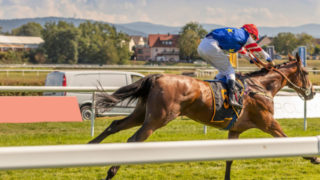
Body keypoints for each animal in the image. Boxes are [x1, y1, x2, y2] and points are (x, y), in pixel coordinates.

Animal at [88, 54, 318, 179]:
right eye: (306, 72)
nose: (311, 92)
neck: (261, 87)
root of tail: (157, 76)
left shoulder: (235, 130)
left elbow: (229, 159)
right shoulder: (268, 122)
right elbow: (287, 139)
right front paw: (314, 157)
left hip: (141, 113)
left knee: (115, 125)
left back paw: (91, 146)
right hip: (157, 119)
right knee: (132, 140)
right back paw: (111, 171)